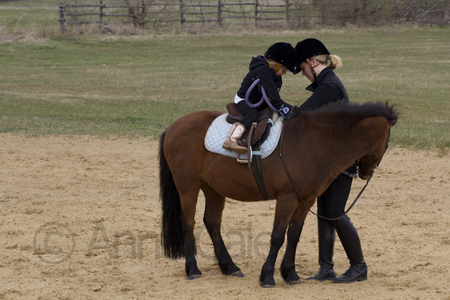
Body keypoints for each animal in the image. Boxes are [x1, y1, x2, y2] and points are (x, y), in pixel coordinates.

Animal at [158, 101, 398, 288]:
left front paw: (290, 273)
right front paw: (268, 276)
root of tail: (173, 126)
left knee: (212, 223)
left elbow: (294, 235)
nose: (365, 172)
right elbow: (277, 236)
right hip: (188, 186)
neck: (315, 141)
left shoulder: (305, 199)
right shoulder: (287, 198)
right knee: (188, 222)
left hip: (214, 189)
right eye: (387, 141)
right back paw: (193, 269)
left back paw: (230, 266)